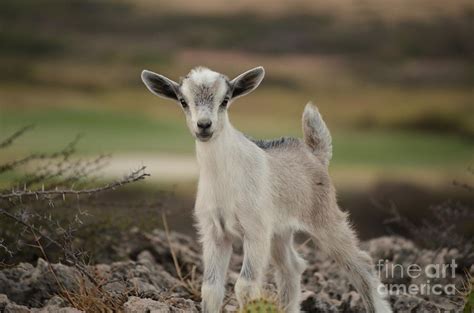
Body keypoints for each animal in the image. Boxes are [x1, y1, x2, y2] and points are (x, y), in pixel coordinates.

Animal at [141, 66, 392, 312]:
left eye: (225, 100)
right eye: (183, 101)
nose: (204, 125)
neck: (224, 179)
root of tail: (316, 155)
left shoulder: (256, 230)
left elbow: (245, 285)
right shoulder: (214, 232)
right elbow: (210, 288)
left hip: (325, 219)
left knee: (361, 265)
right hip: (280, 231)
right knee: (292, 266)